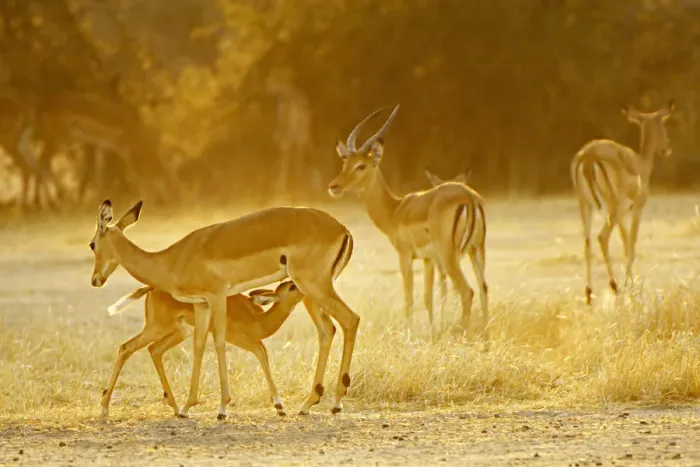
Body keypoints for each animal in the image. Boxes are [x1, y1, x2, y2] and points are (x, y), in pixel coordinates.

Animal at [100, 281, 304, 418]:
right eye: (291, 287)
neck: (257, 317)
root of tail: (152, 288)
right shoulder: (235, 337)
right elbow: (257, 352)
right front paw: (222, 409)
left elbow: (262, 353)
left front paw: (280, 407)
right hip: (157, 328)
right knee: (126, 347)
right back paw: (104, 408)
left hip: (179, 332)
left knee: (154, 350)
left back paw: (176, 407)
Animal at [328, 106, 488, 336]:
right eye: (345, 162)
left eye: (361, 165)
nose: (334, 186)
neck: (396, 210)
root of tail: (470, 197)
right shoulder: (429, 259)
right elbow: (428, 298)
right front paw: (432, 333)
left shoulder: (405, 256)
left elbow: (409, 300)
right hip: (477, 250)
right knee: (483, 289)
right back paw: (486, 337)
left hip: (450, 256)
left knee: (467, 291)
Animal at [571, 100, 674, 305]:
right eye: (662, 123)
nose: (666, 148)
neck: (641, 164)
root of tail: (588, 156)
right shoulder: (636, 209)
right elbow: (631, 244)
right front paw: (631, 286)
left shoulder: (623, 215)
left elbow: (626, 242)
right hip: (612, 207)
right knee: (602, 237)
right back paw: (615, 286)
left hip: (586, 205)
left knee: (587, 242)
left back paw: (588, 293)